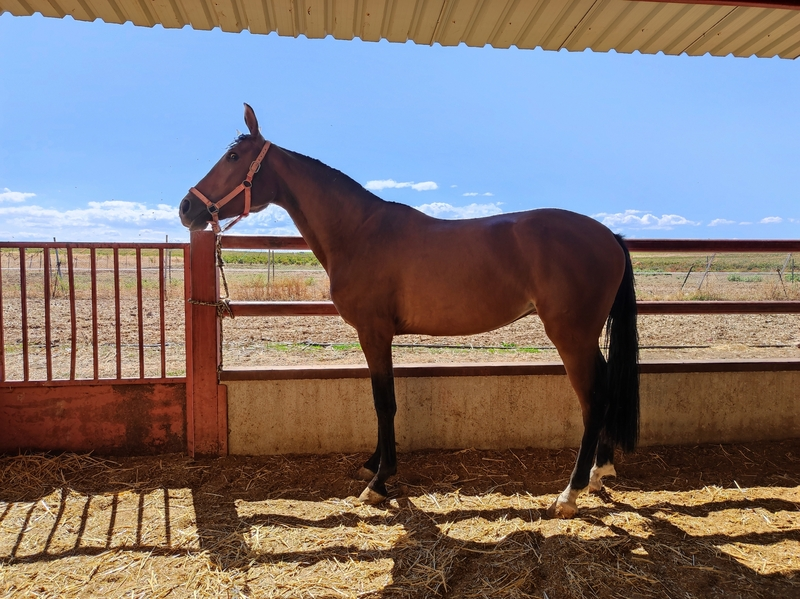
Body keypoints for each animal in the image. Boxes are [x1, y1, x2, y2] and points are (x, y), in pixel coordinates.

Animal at [179, 104, 640, 518]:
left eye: (233, 157)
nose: (186, 208)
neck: (360, 231)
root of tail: (609, 236)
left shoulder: (374, 332)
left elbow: (385, 402)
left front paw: (380, 482)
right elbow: (380, 399)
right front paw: (372, 465)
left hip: (570, 336)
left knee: (592, 400)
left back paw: (570, 493)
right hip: (582, 337)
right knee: (605, 388)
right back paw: (599, 472)